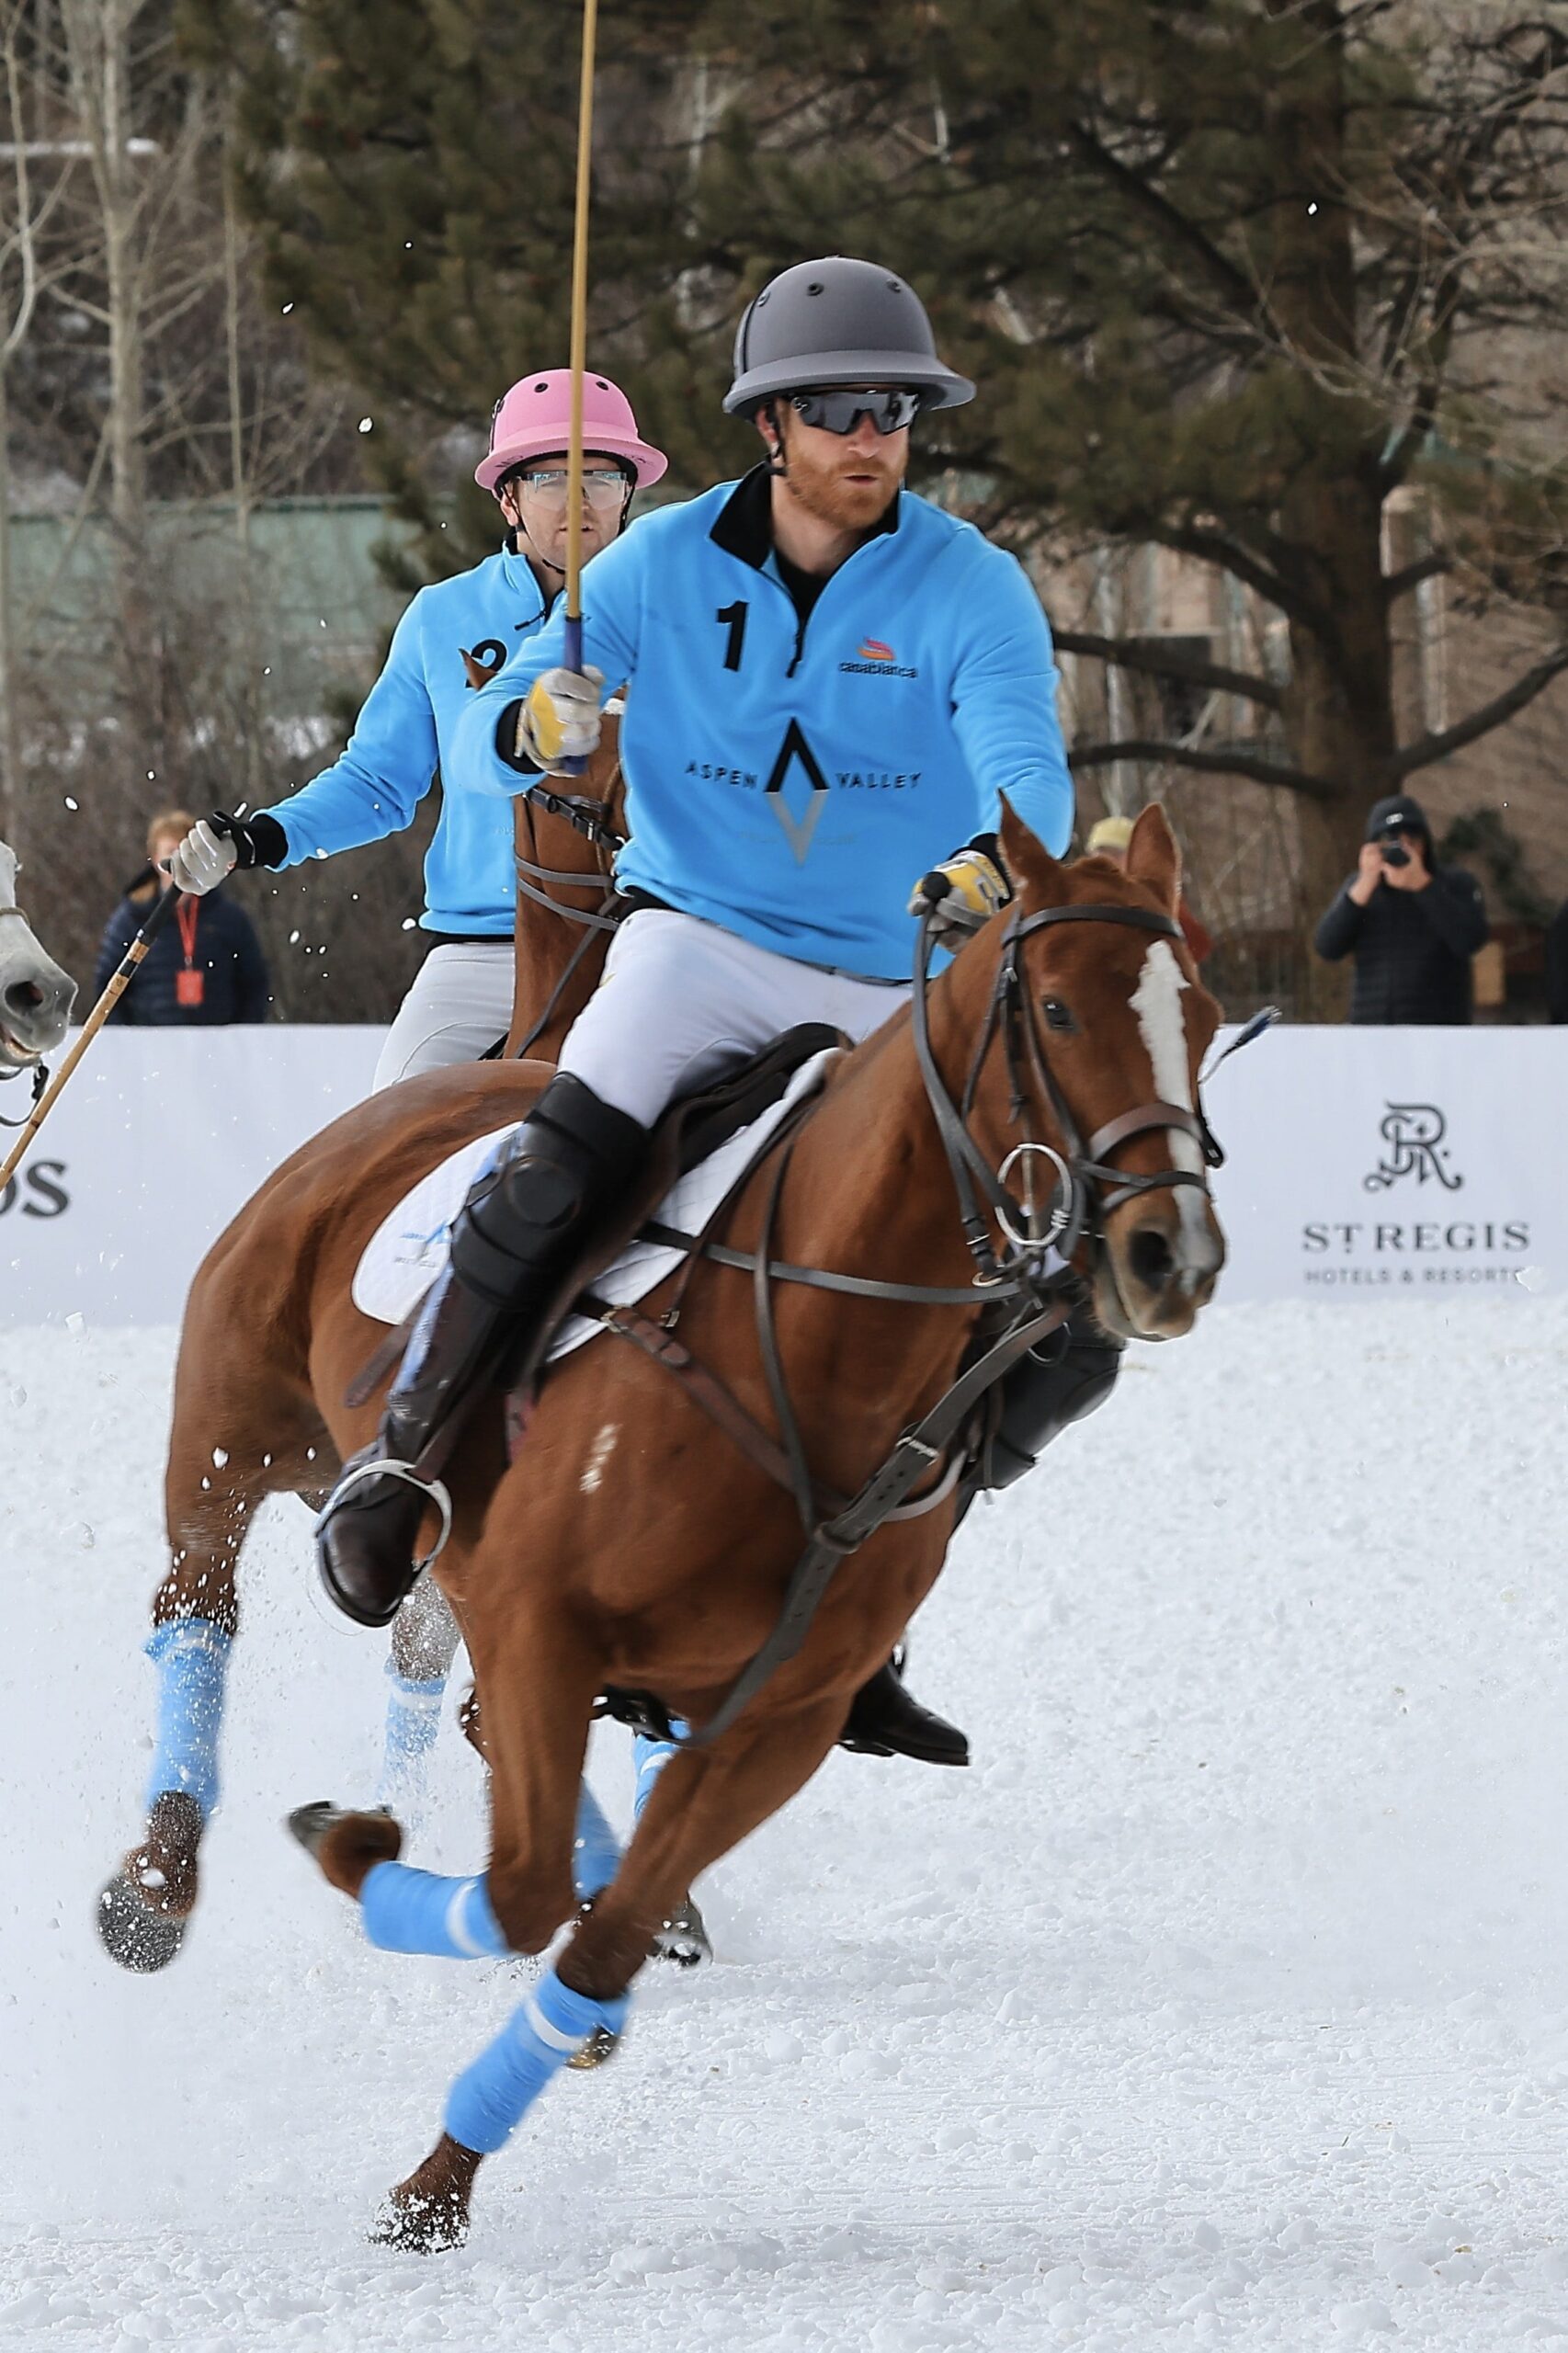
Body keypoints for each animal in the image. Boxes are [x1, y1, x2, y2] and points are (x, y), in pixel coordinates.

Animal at [126, 799, 1226, 2250]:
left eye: (1196, 1013)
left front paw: (439, 2183)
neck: (816, 1341)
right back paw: (149, 1891)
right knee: (197, 1607)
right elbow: (517, 1890)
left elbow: (581, 1930)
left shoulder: (777, 1718)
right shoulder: (540, 1621)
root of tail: (441, 1088)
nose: (1170, 1257)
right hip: (234, 1430)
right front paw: (351, 1843)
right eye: (1052, 1008)